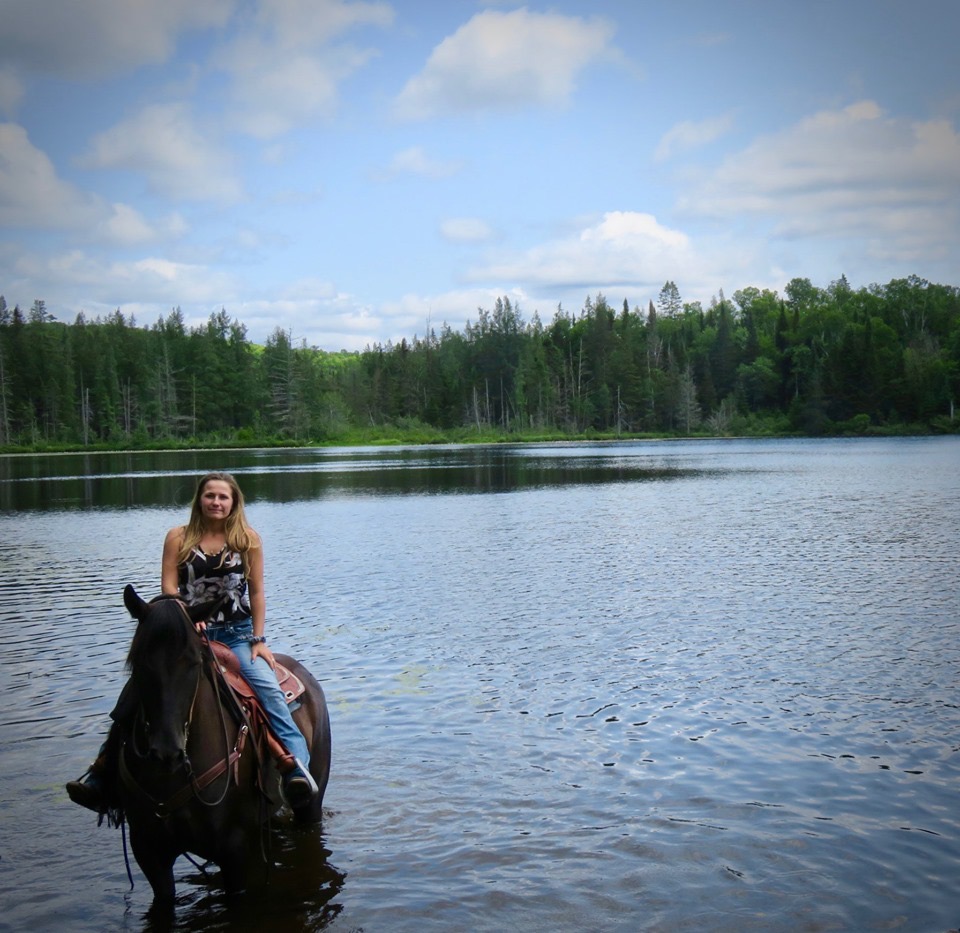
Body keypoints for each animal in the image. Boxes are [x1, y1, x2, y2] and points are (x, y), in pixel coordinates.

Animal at [112, 584, 328, 912]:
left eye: (193, 662)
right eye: (139, 662)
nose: (167, 751)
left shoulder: (234, 851)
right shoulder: (149, 853)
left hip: (311, 805)